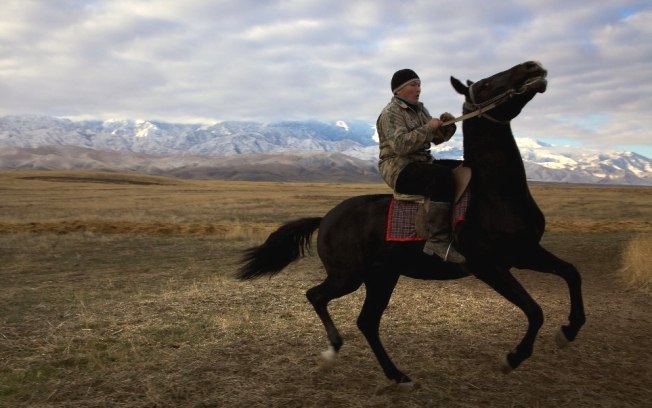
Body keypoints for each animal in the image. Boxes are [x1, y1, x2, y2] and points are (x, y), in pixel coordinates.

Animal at [237, 60, 588, 386]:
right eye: (487, 83)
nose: (532, 66)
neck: (494, 194)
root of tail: (326, 219)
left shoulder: (526, 253)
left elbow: (572, 273)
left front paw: (569, 330)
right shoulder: (489, 266)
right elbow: (535, 311)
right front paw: (513, 358)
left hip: (382, 276)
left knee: (367, 321)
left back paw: (397, 375)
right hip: (348, 276)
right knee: (316, 296)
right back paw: (332, 353)